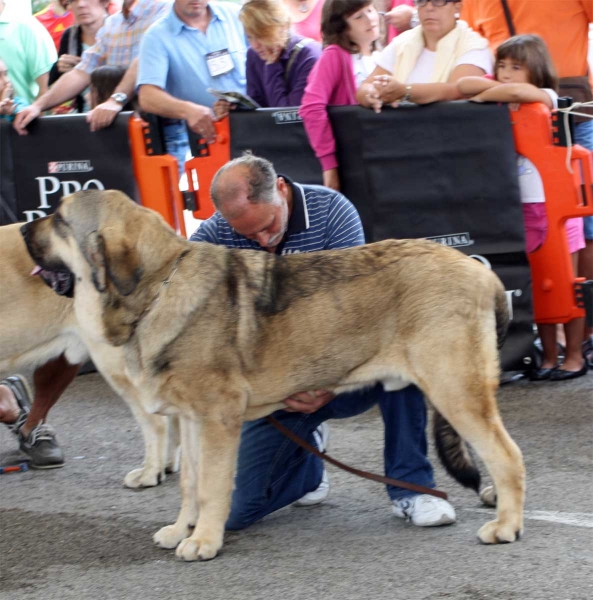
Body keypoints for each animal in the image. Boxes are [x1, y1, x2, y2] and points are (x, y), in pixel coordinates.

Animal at [20, 191, 524, 564]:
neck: (159, 287)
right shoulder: (191, 421)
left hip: (454, 389)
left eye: (60, 219)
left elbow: (213, 487)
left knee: (506, 454)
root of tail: (480, 272)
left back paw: (505, 525)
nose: (22, 229)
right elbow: (190, 484)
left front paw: (204, 541)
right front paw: (181, 530)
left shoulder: (217, 420)